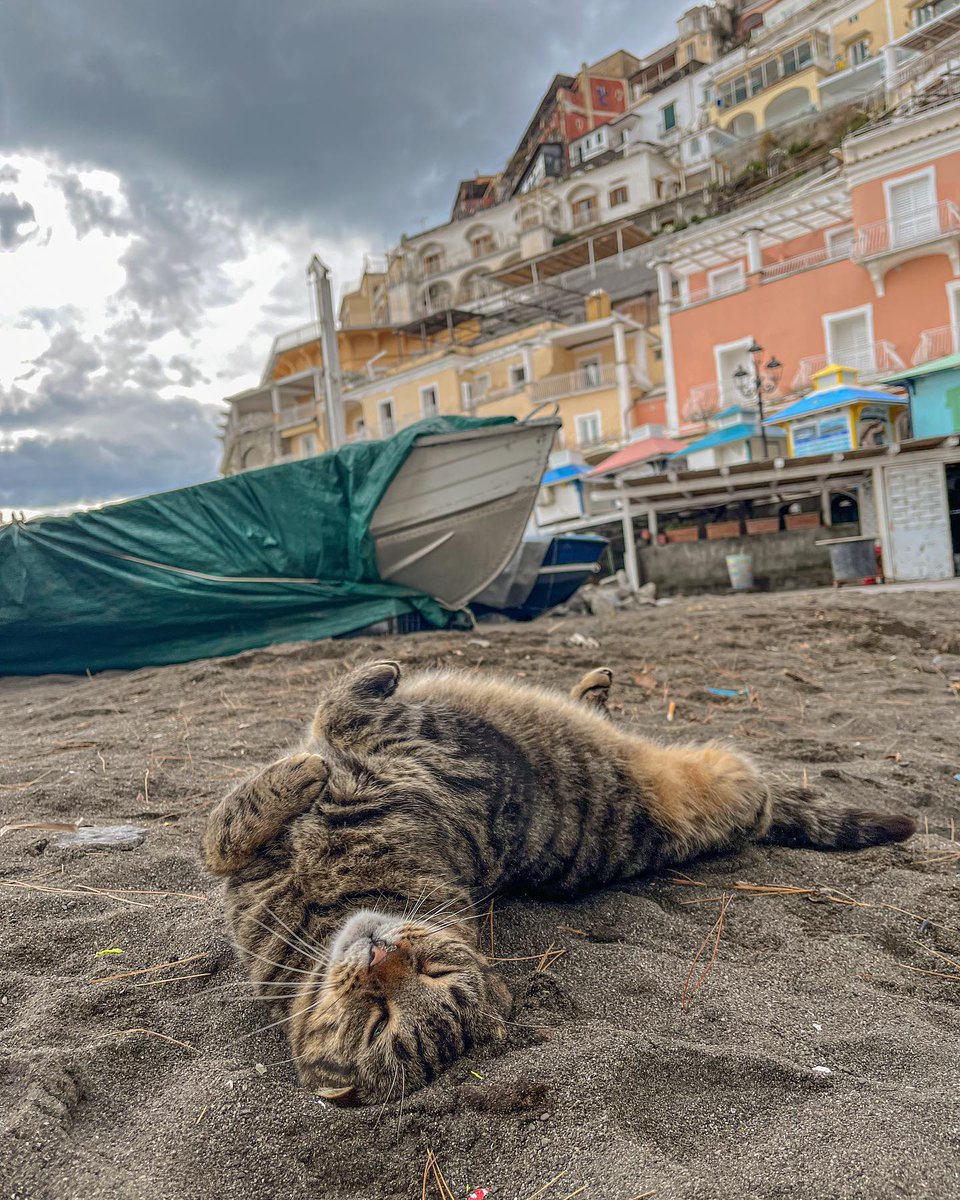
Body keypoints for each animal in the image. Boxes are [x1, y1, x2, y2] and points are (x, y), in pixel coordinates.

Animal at [204, 667, 916, 1104]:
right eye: (379, 1019)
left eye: (432, 974)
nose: (383, 955)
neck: (338, 907)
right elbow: (225, 835)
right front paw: (302, 771)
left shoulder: (451, 757)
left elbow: (333, 723)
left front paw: (321, 745)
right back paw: (591, 688)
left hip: (730, 780)